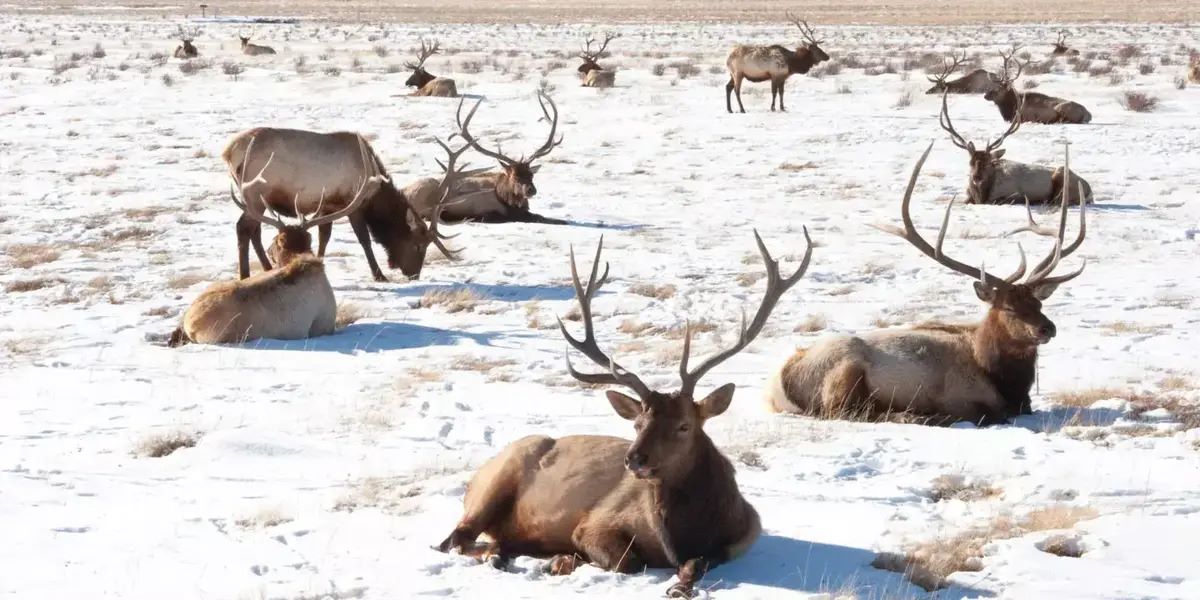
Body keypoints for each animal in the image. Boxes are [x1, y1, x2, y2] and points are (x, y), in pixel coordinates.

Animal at [221, 128, 459, 282]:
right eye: (419, 245)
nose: (414, 274)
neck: (374, 193)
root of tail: (229, 151)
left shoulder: (328, 206)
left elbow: (324, 237)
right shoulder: (352, 204)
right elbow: (364, 239)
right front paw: (379, 275)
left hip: (256, 199)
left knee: (254, 230)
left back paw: (267, 267)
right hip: (254, 194)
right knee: (243, 228)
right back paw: (245, 275)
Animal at [438, 229, 812, 599]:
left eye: (684, 426)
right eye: (637, 423)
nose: (635, 459)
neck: (683, 537)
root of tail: (475, 477)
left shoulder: (741, 538)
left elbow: (698, 564)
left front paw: (680, 585)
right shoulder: (595, 522)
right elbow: (628, 561)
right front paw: (563, 560)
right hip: (494, 482)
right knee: (454, 539)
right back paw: (497, 554)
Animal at [765, 142, 1086, 426]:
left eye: (1038, 302)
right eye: (1008, 307)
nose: (1047, 328)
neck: (1003, 379)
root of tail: (779, 385)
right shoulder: (962, 396)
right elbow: (988, 414)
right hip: (844, 371)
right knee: (847, 411)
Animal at [939, 93, 1093, 205]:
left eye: (988, 163)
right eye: (970, 162)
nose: (977, 177)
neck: (980, 196)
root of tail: (1089, 189)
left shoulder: (1012, 193)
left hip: (1062, 176)